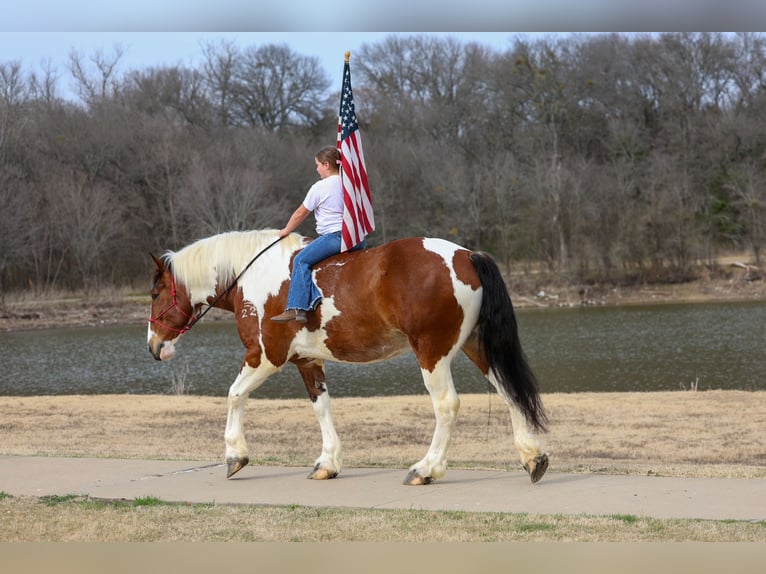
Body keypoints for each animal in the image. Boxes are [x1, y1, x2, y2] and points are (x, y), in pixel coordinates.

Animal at [147, 229, 549, 486]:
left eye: (155, 293)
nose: (153, 346)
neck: (254, 276)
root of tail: (466, 256)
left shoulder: (264, 356)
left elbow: (234, 394)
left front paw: (235, 455)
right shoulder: (307, 361)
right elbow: (321, 408)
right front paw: (328, 462)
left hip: (432, 353)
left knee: (447, 405)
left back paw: (426, 469)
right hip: (477, 346)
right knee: (509, 393)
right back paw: (533, 458)